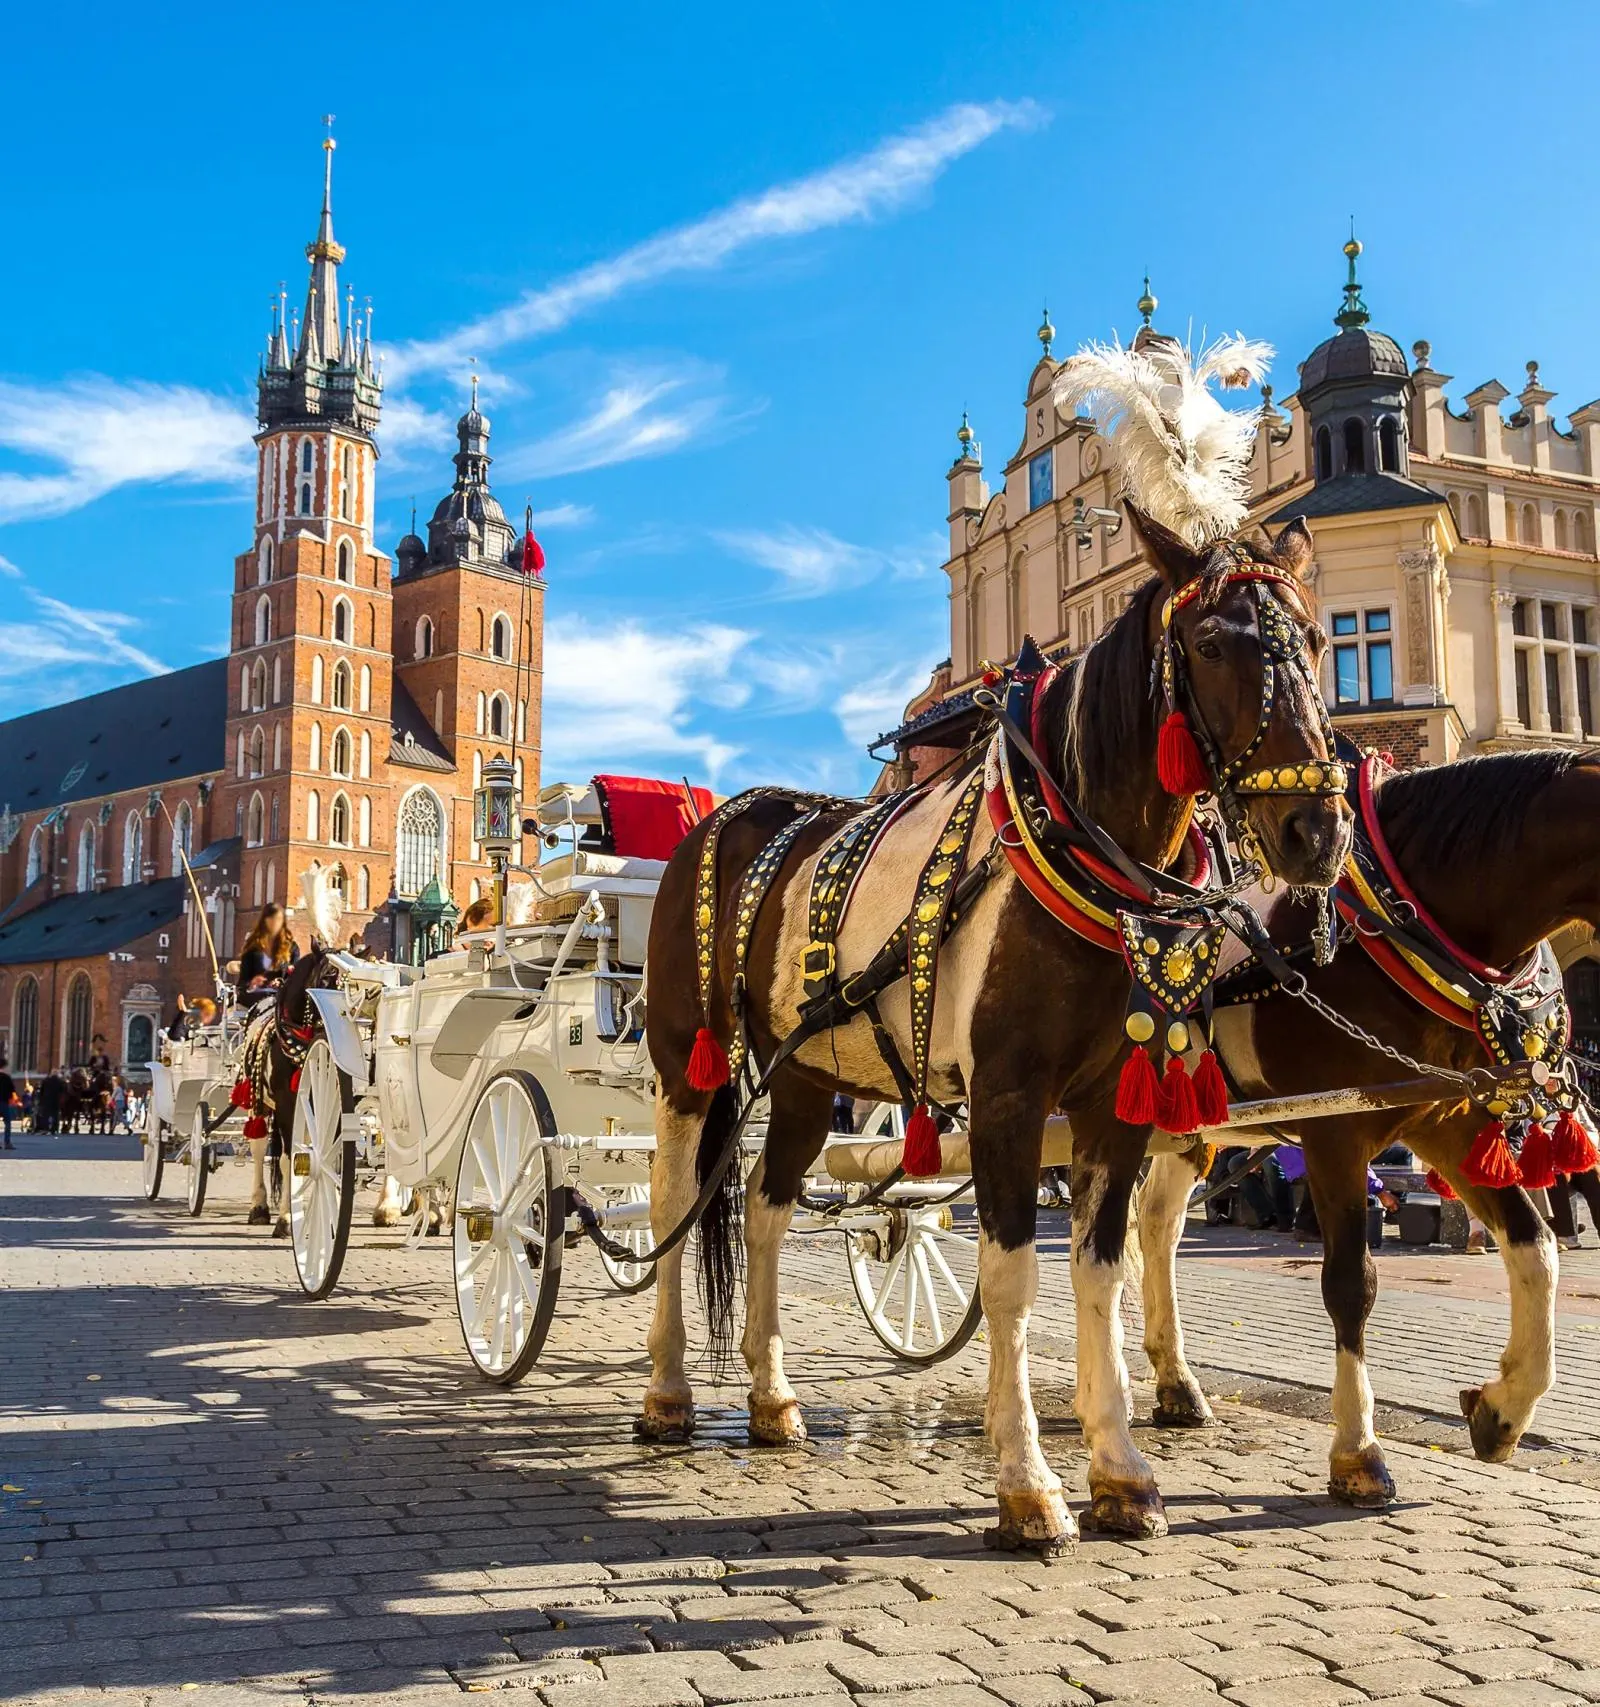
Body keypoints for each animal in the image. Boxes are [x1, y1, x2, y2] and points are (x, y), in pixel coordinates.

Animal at [1138, 746, 1600, 1506]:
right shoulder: (1336, 1134)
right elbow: (1351, 1283)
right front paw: (1358, 1452)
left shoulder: (1446, 1115)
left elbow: (1536, 1248)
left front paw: (1503, 1408)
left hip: (1185, 1125)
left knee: (1153, 1227)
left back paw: (1175, 1383)